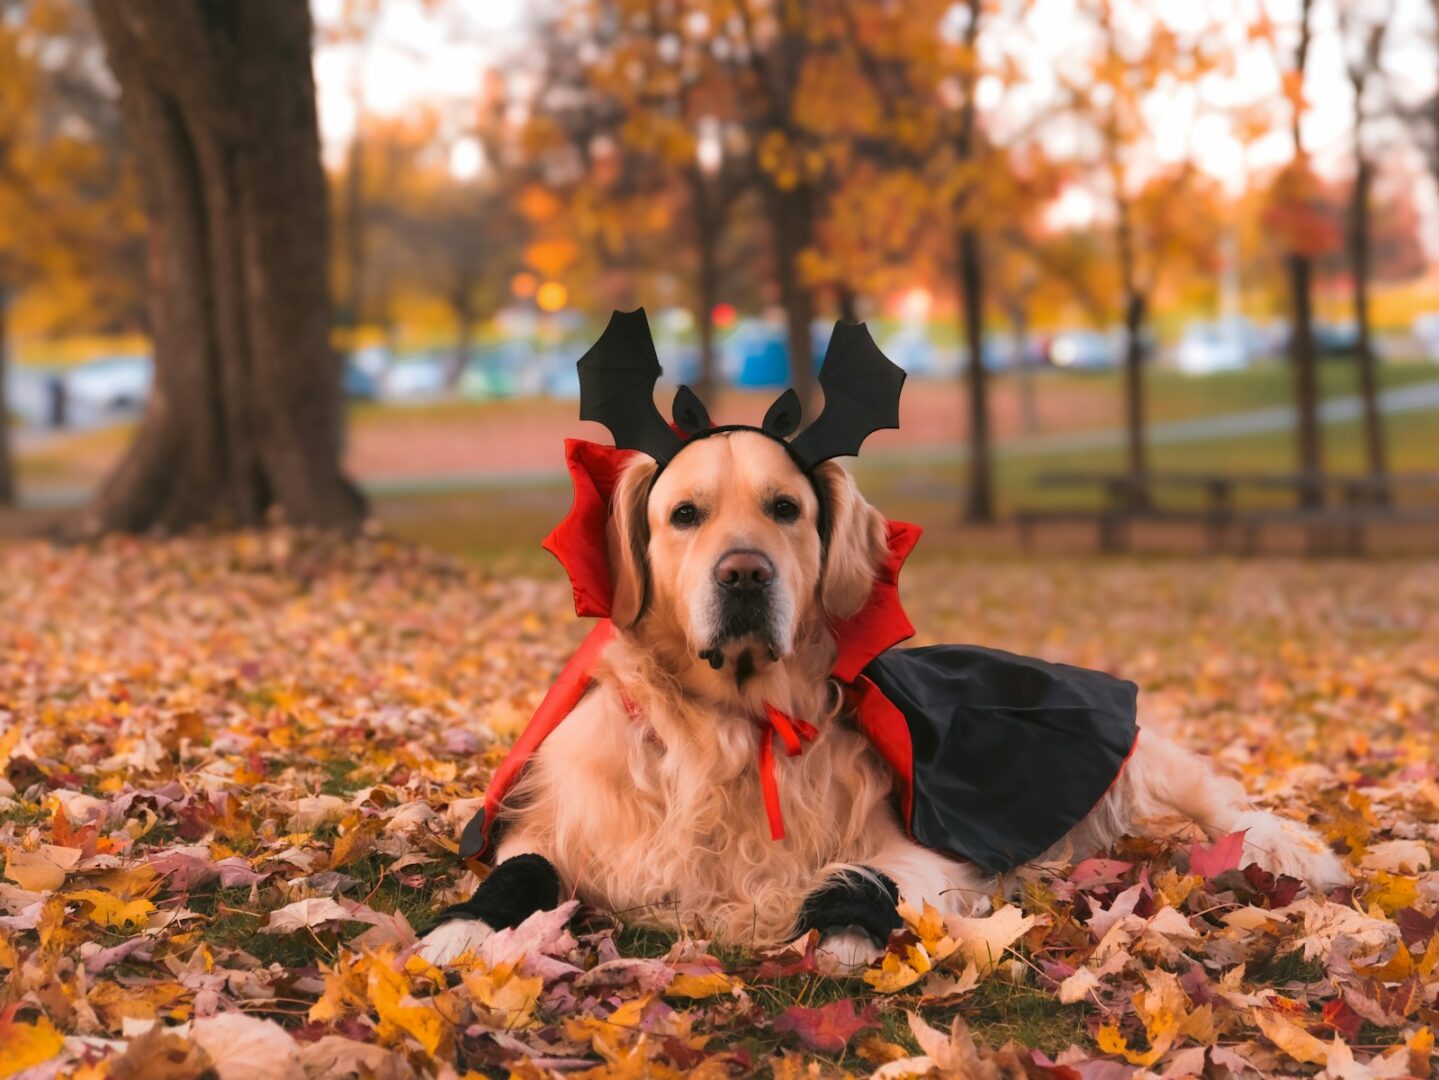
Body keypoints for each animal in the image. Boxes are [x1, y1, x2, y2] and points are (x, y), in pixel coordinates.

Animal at [420, 425, 1346, 966]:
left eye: (784, 507)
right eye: (683, 514)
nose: (744, 573)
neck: (734, 724)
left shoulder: (925, 851)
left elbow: (859, 875)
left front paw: (836, 932)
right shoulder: (563, 826)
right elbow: (526, 869)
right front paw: (465, 926)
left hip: (1130, 749)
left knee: (1226, 808)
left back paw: (1290, 852)